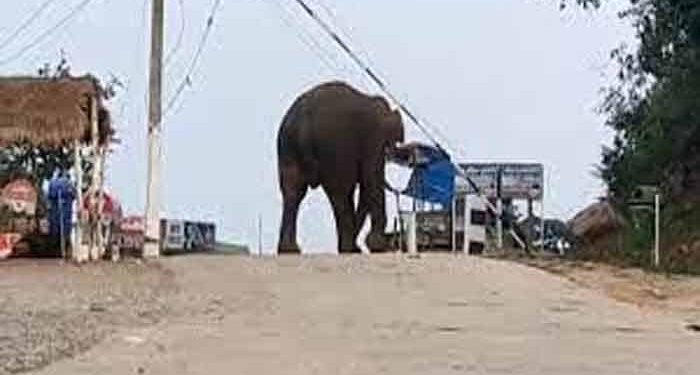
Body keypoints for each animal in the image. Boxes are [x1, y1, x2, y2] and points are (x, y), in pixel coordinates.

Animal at [274, 81, 404, 254]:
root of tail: (303, 122)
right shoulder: (374, 137)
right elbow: (371, 179)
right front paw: (376, 245)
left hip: (287, 145)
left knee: (293, 192)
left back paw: (291, 250)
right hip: (334, 145)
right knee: (340, 193)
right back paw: (349, 248)